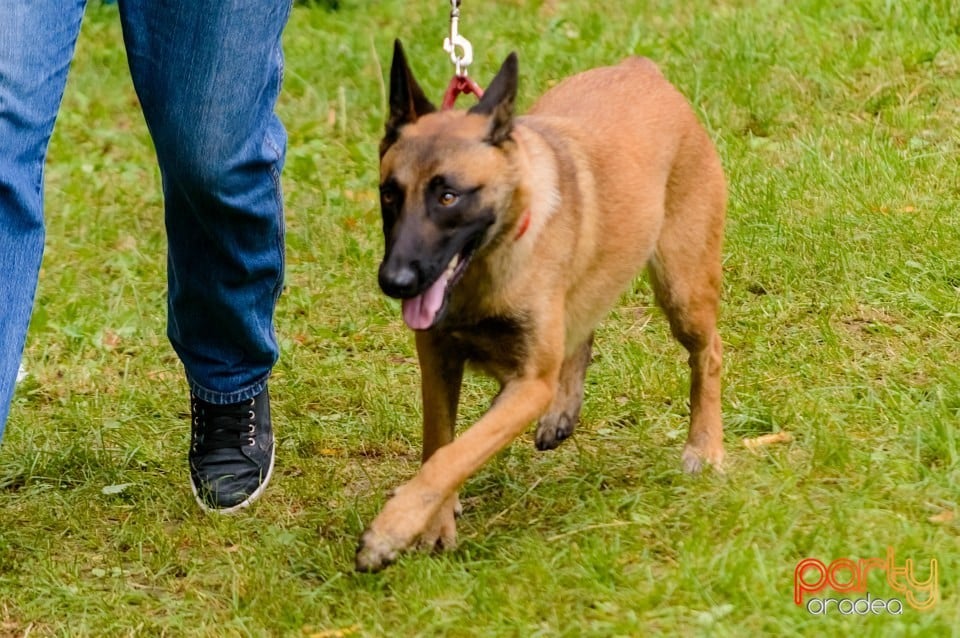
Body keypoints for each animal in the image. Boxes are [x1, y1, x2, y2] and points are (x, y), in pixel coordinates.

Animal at [356, 42, 724, 576]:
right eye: (390, 193)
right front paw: (435, 522)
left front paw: (391, 531)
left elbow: (453, 455)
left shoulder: (529, 383)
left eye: (448, 197)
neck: (488, 264)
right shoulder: (439, 362)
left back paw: (705, 446)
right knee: (583, 331)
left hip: (683, 293)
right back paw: (563, 411)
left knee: (708, 355)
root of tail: (639, 69)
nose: (395, 281)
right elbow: (440, 443)